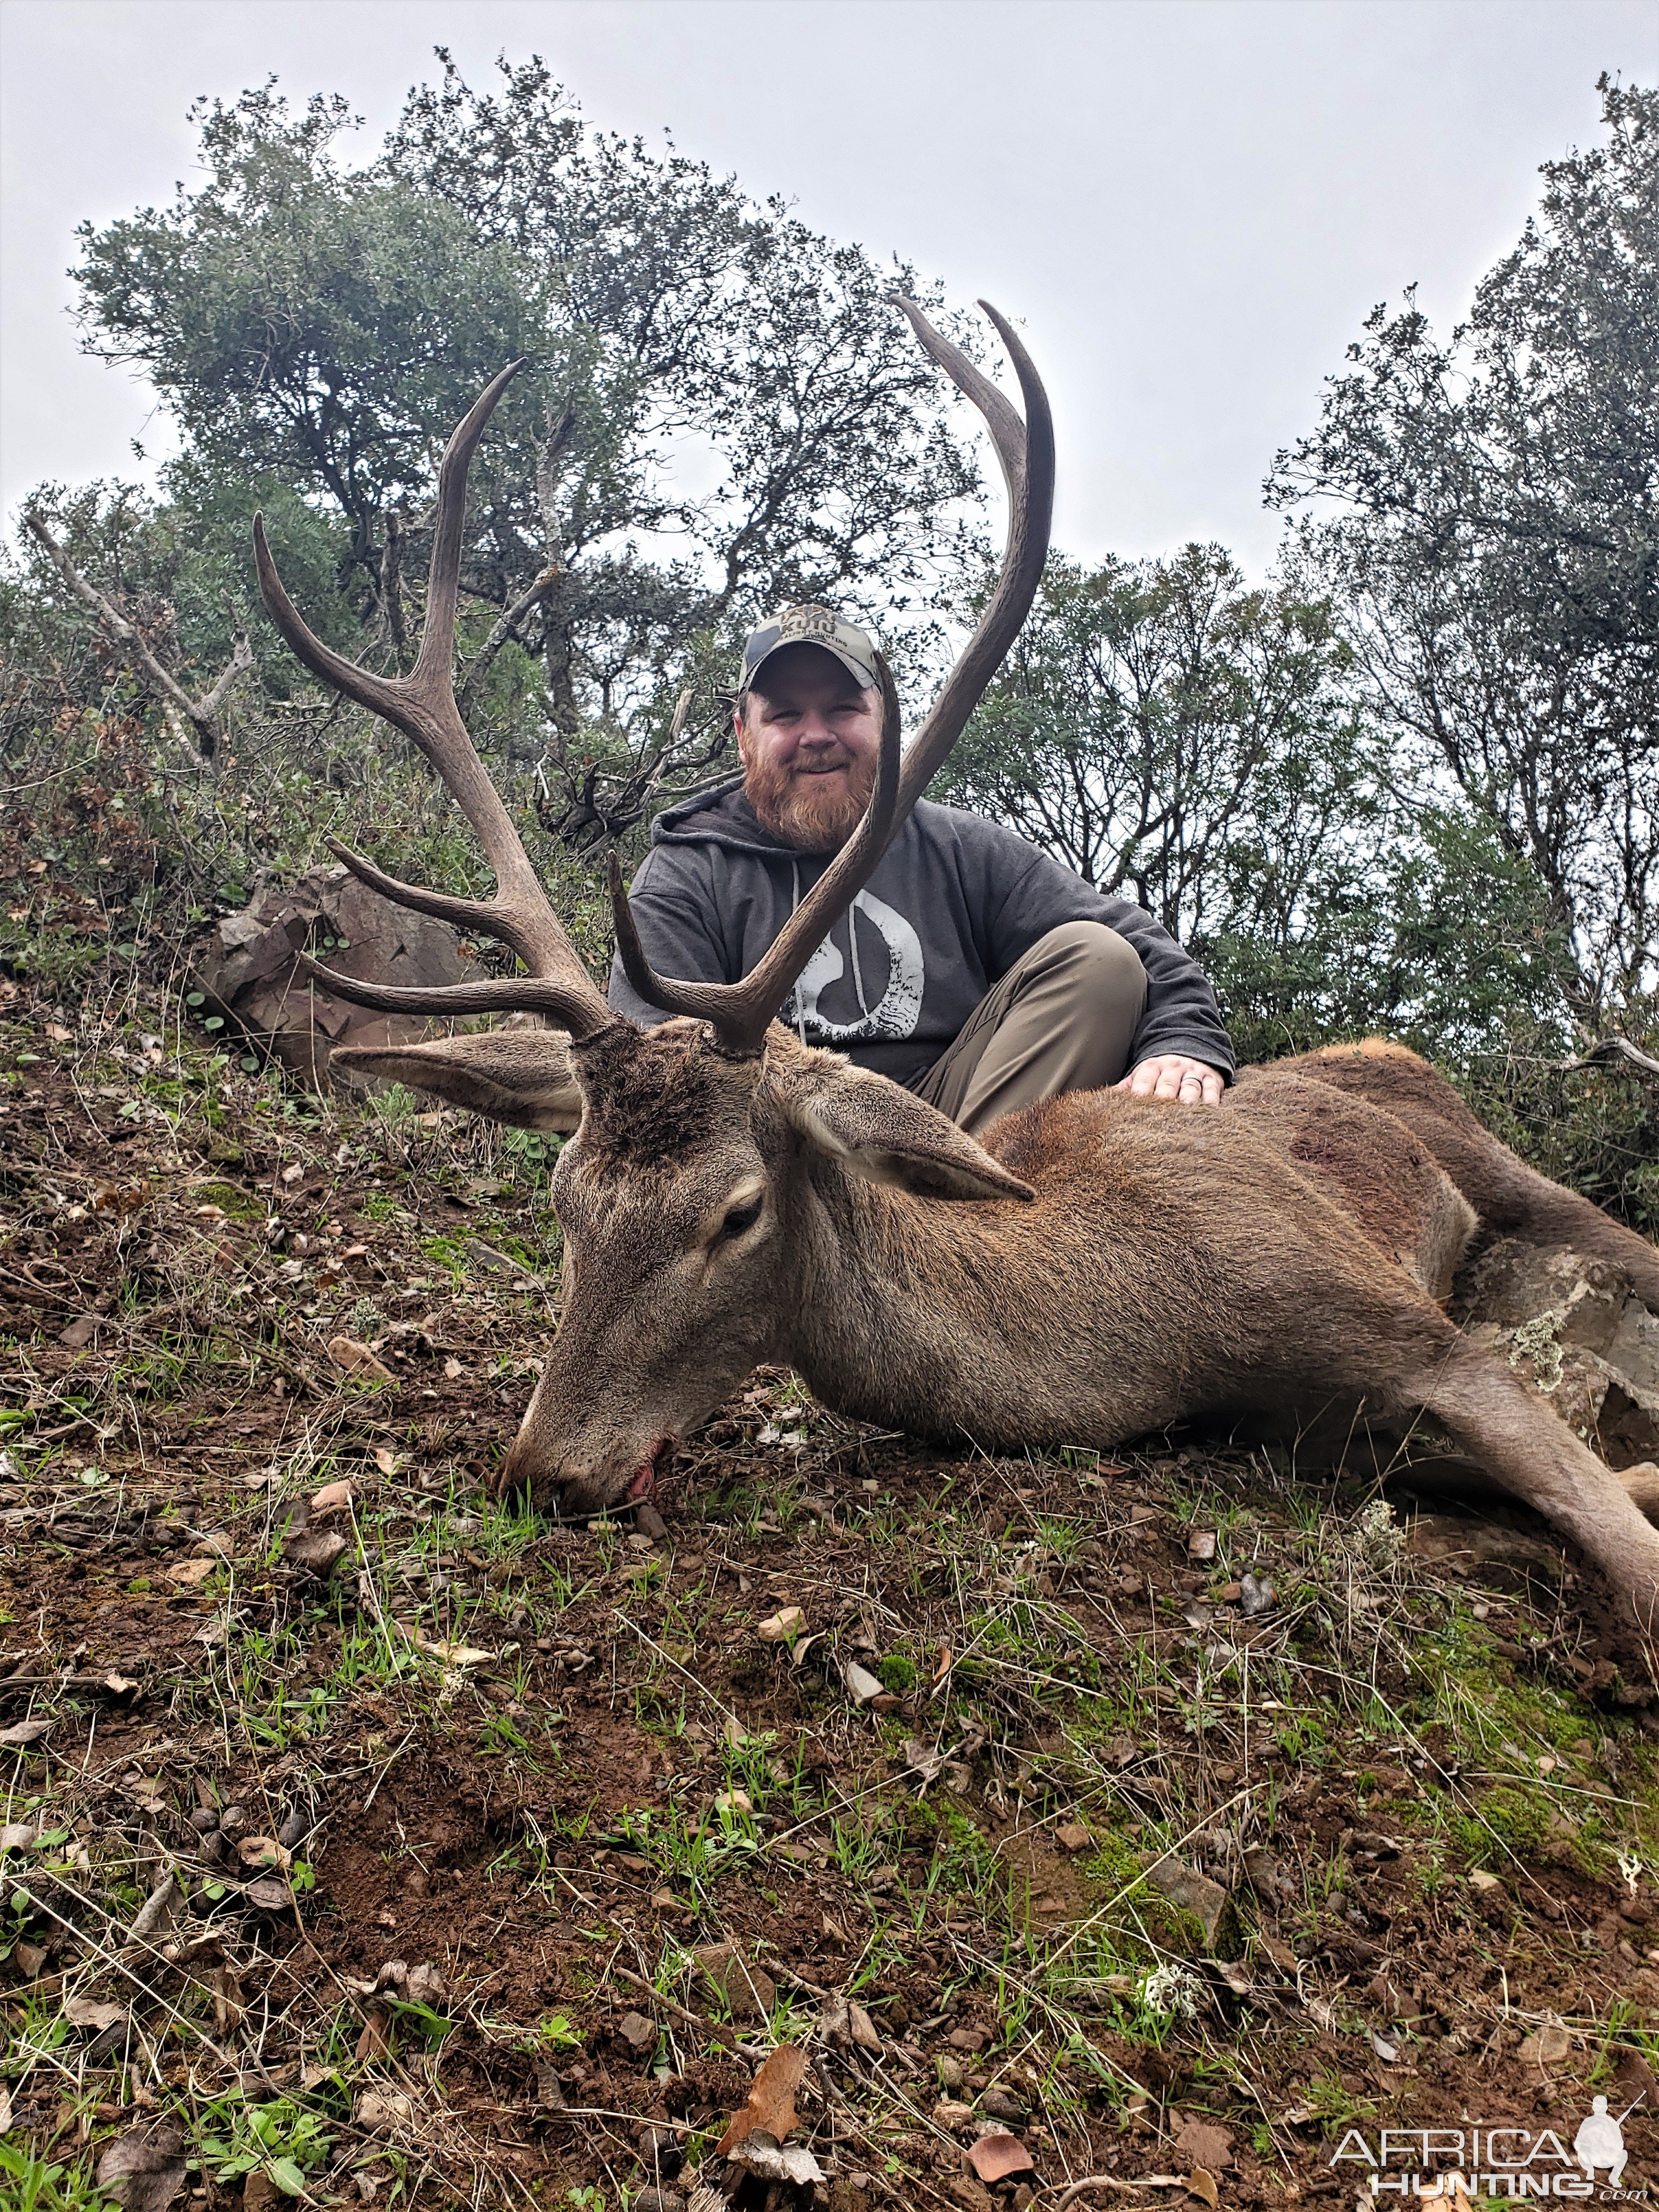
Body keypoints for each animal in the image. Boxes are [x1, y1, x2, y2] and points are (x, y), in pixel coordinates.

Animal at [253, 312, 1659, 1628]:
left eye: (737, 1211)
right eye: (562, 1199)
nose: (548, 1473)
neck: (1156, 1331)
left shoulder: (1409, 1330)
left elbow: (1626, 1546)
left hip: (1516, 1174)